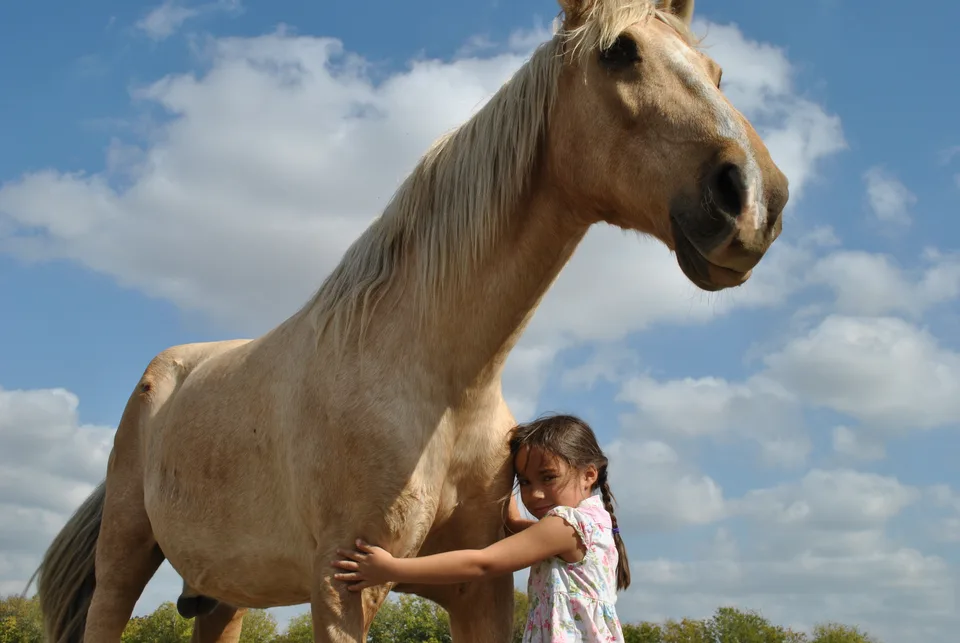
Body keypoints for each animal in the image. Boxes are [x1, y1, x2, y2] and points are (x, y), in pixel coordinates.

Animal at [33, 0, 788, 641]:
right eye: (619, 53)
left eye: (717, 72)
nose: (755, 198)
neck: (438, 382)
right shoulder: (341, 584)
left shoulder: (480, 586)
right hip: (124, 559)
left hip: (224, 595)